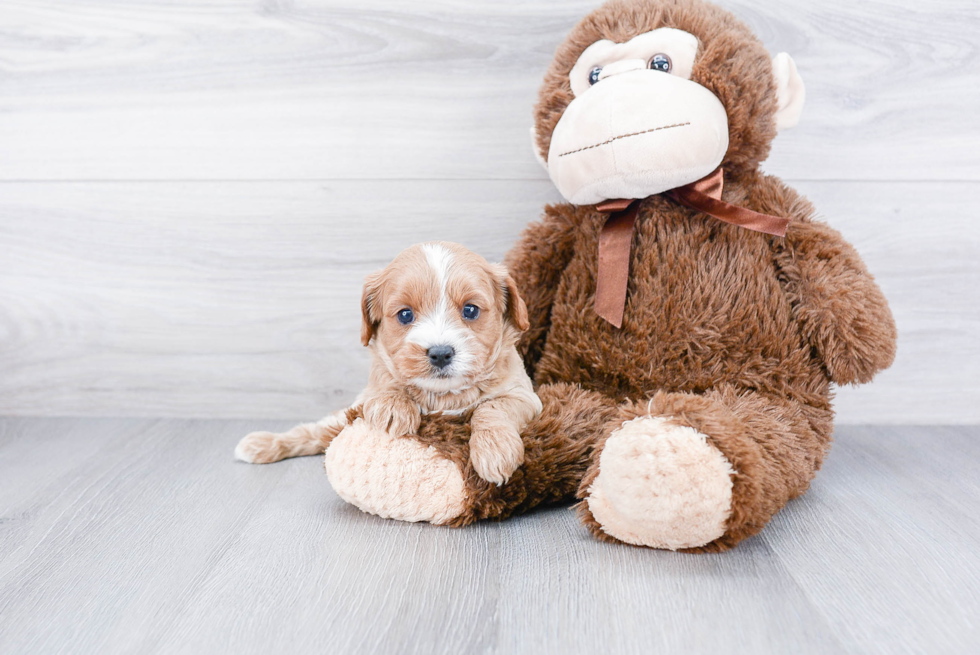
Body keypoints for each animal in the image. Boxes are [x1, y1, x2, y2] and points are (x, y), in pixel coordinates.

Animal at [236, 242, 544, 486]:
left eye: (470, 310)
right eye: (405, 315)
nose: (440, 353)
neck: (442, 396)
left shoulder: (524, 396)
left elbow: (491, 408)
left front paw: (495, 451)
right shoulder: (370, 391)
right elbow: (386, 380)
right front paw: (394, 406)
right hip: (345, 413)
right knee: (314, 431)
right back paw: (261, 443)